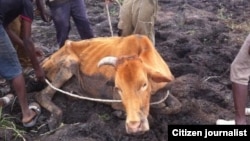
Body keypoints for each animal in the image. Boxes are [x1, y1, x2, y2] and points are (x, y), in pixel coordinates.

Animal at [35, 34, 180, 134]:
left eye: (144, 84)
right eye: (118, 88)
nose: (133, 126)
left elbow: (176, 106)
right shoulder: (116, 102)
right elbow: (151, 117)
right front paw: (120, 114)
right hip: (69, 64)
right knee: (42, 95)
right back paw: (55, 118)